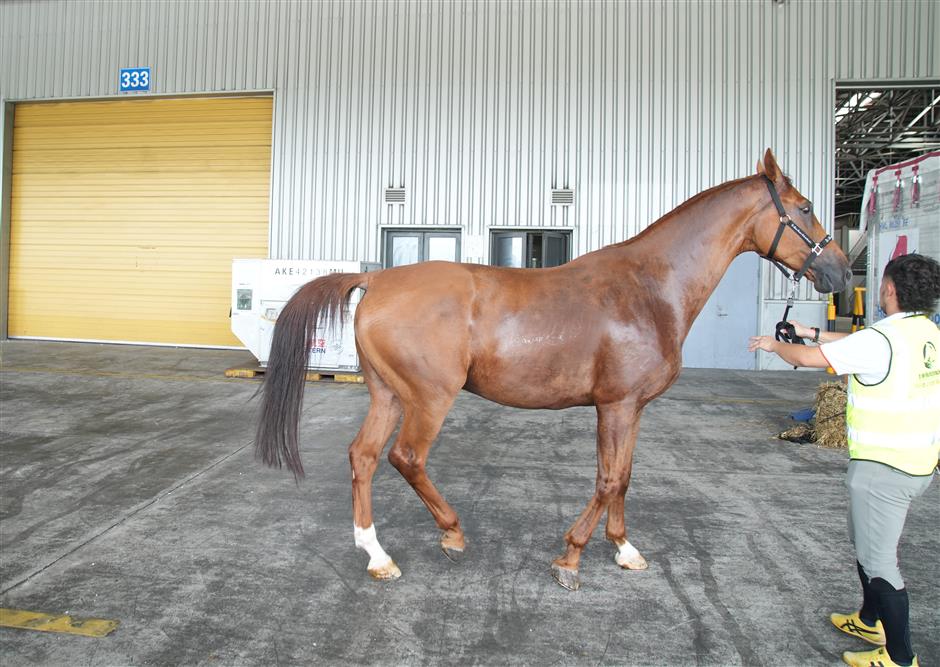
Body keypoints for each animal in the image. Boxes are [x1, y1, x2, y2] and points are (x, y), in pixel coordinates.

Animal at [255, 149, 851, 590]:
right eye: (804, 208)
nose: (840, 272)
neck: (649, 287)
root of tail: (377, 280)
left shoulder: (630, 409)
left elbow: (623, 477)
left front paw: (625, 550)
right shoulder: (616, 406)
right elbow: (608, 480)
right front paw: (570, 558)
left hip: (388, 394)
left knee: (364, 457)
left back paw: (377, 554)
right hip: (428, 398)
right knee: (406, 458)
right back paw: (452, 534)